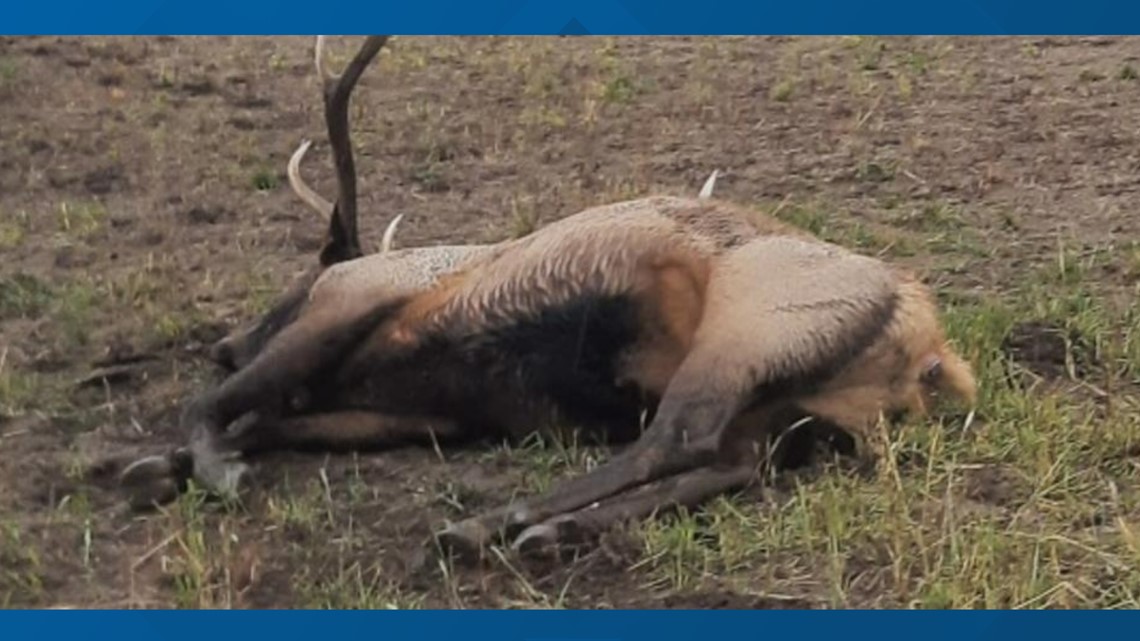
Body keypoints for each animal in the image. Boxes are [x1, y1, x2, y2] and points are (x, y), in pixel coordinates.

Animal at [117, 34, 980, 556]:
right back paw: (556, 532)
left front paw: (202, 467)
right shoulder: (416, 412)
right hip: (784, 411)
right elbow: (263, 420)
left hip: (745, 331)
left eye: (301, 275)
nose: (224, 340)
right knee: (732, 462)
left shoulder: (355, 301)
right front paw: (160, 464)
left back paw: (497, 522)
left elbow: (217, 404)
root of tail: (933, 351)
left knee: (676, 437)